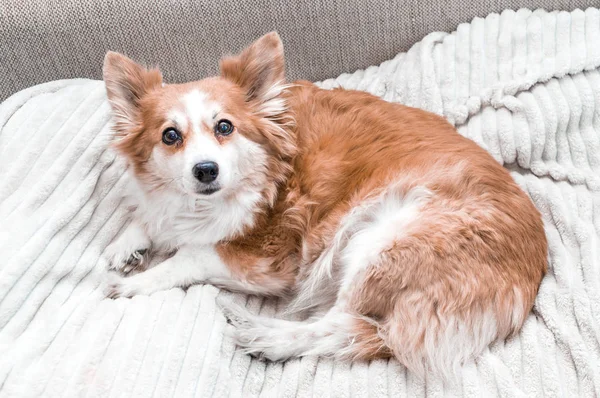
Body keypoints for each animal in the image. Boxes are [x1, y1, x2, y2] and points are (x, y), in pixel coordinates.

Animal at [103, 31, 548, 376]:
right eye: (170, 136)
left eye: (224, 127)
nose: (205, 171)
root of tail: (532, 277)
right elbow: (150, 216)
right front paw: (127, 243)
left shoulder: (264, 261)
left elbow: (188, 256)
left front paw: (135, 281)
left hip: (382, 243)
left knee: (351, 326)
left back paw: (269, 336)